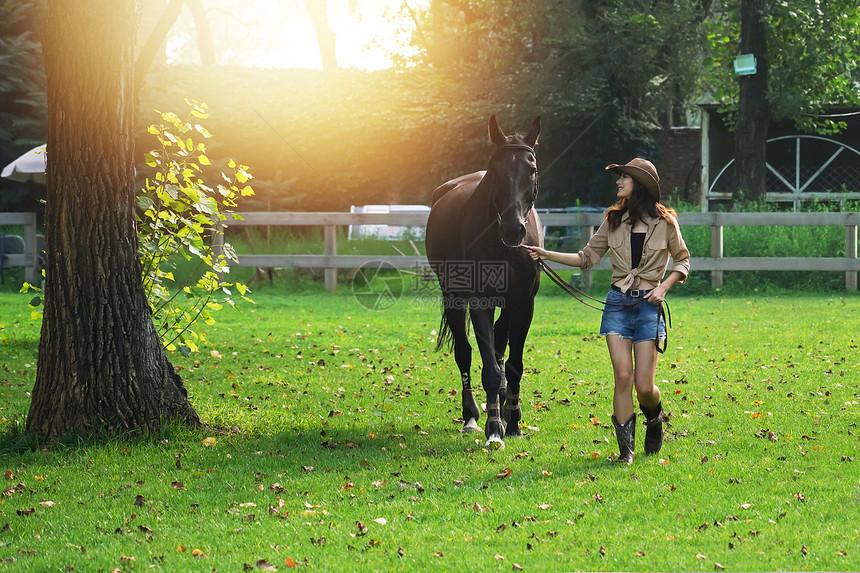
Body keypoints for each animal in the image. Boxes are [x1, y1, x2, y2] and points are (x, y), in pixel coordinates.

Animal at [424, 114, 540, 450]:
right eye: (496, 170)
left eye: (531, 169)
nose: (513, 229)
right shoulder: (479, 303)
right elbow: (488, 368)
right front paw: (494, 430)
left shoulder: (523, 304)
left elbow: (513, 366)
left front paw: (512, 423)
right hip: (452, 298)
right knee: (464, 353)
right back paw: (472, 417)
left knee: (500, 350)